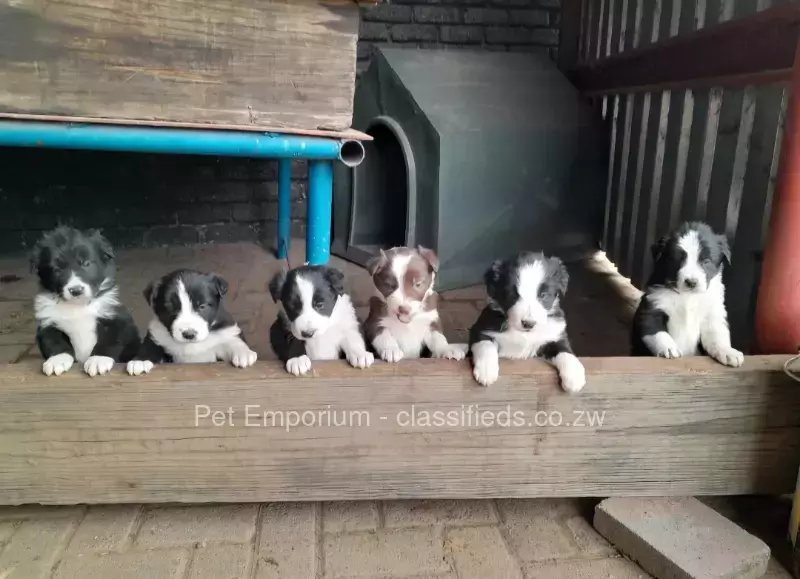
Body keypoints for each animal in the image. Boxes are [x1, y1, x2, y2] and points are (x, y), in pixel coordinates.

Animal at [31, 224, 140, 378]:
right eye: (56, 269)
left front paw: (98, 360)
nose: (76, 290)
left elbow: (109, 340)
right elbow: (54, 341)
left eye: (86, 264)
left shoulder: (114, 318)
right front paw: (57, 360)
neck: (77, 306)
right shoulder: (48, 323)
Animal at [126, 270, 256, 374]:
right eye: (171, 308)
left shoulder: (225, 332)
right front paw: (140, 361)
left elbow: (233, 341)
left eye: (202, 306)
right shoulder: (157, 334)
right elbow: (150, 346)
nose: (189, 334)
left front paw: (244, 353)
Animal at [466, 254, 584, 394]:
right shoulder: (481, 329)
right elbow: (486, 346)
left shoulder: (555, 335)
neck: (523, 334)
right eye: (512, 295)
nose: (529, 324)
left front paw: (575, 376)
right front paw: (486, 371)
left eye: (543, 295)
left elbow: (565, 352)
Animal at [632, 222, 744, 368]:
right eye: (677, 260)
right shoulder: (652, 307)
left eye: (706, 261)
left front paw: (728, 352)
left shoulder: (712, 313)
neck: (688, 297)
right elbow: (657, 332)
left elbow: (717, 335)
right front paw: (669, 348)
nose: (691, 282)